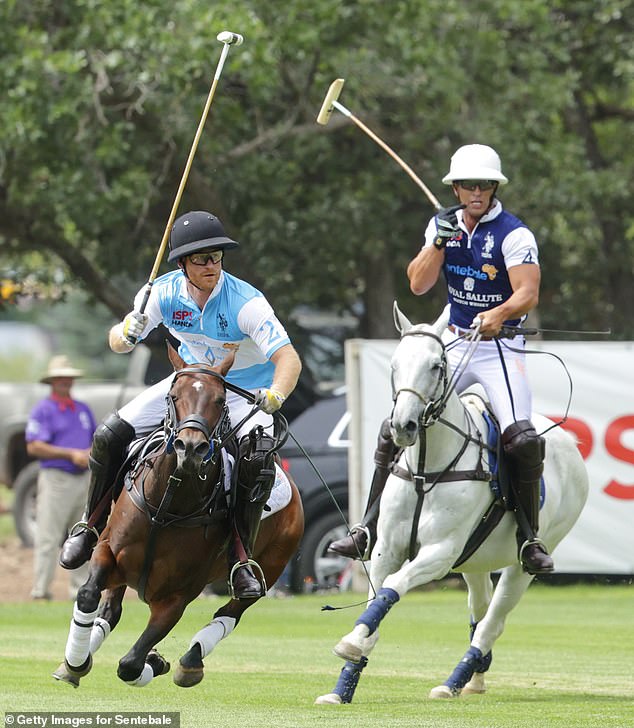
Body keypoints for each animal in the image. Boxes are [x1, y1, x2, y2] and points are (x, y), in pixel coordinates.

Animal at [51, 346, 304, 688]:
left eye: (220, 399)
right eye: (174, 395)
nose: (191, 448)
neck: (167, 505)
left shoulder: (177, 597)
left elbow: (130, 665)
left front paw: (155, 661)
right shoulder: (108, 553)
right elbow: (88, 594)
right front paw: (75, 663)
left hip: (273, 564)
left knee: (231, 612)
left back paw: (192, 660)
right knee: (110, 609)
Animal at [314, 304, 588, 704]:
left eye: (436, 365)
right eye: (394, 364)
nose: (403, 426)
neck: (427, 469)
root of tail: (570, 443)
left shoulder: (440, 552)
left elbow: (394, 585)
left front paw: (351, 644)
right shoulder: (386, 548)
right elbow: (377, 597)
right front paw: (343, 682)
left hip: (524, 563)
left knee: (493, 622)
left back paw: (452, 681)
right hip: (475, 559)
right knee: (480, 609)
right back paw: (473, 678)